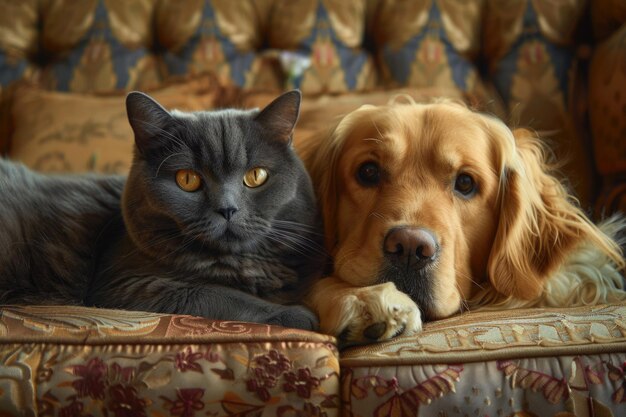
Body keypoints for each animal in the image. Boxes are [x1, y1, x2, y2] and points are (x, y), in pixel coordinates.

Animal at [2, 90, 326, 328]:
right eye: (188, 179)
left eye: (256, 176)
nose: (228, 209)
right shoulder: (129, 285)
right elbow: (221, 294)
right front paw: (295, 314)